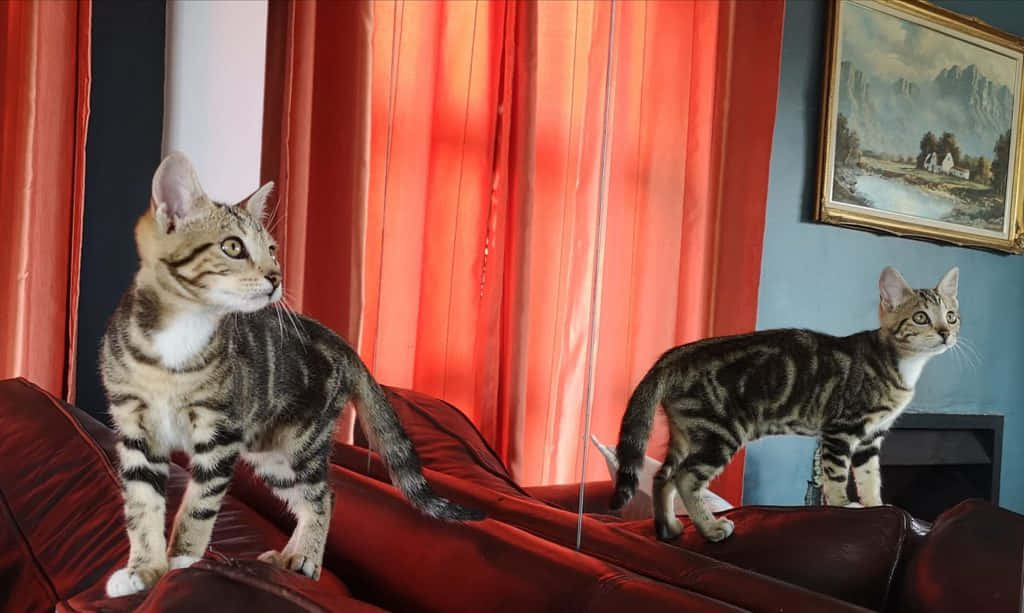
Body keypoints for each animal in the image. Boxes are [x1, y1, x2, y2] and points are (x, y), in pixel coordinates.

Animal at [100, 151, 483, 597]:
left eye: (271, 249)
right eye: (233, 247)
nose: (275, 276)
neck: (179, 337)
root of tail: (341, 342)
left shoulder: (220, 433)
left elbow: (200, 505)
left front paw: (182, 561)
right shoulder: (135, 428)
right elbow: (142, 504)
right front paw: (144, 569)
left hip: (301, 440)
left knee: (323, 496)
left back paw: (305, 559)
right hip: (270, 451)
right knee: (315, 496)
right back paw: (288, 556)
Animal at [606, 266, 958, 544]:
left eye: (951, 316)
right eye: (921, 317)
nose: (945, 333)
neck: (901, 365)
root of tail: (673, 356)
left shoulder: (871, 437)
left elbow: (871, 479)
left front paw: (876, 508)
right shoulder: (841, 430)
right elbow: (836, 478)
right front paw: (843, 508)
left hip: (687, 433)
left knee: (662, 476)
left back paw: (668, 528)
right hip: (719, 432)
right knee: (685, 478)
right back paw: (711, 529)